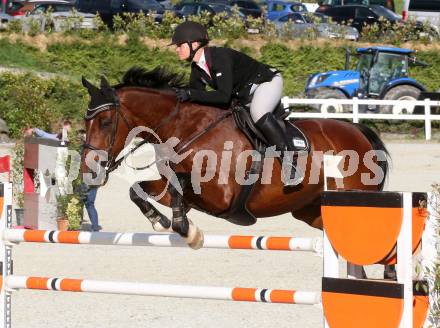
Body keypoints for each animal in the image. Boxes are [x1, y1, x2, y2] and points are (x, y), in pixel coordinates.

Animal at [81, 66, 390, 258]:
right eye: (86, 122)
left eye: (105, 122)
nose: (88, 171)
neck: (187, 128)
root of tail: (358, 131)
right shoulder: (180, 191)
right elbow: (139, 190)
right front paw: (163, 222)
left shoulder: (222, 196)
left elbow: (180, 183)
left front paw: (188, 231)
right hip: (311, 211)